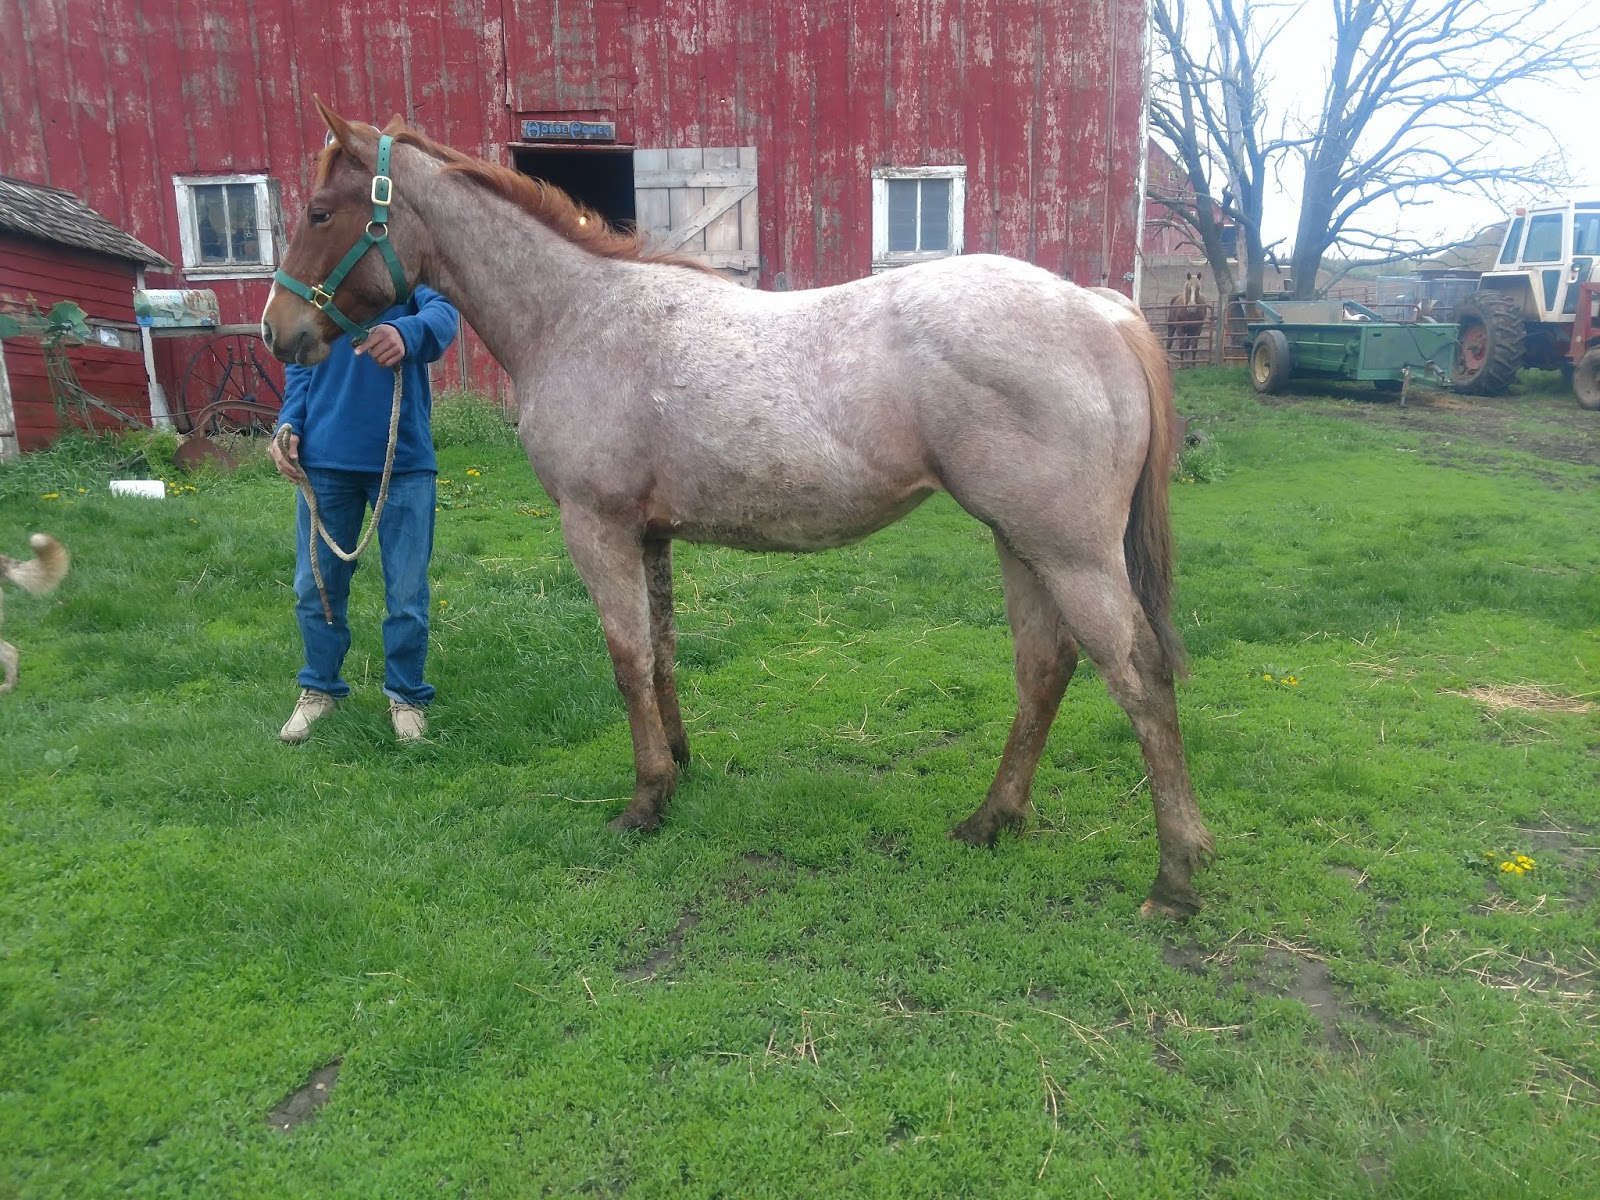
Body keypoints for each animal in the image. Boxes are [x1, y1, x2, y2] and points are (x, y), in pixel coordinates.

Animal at [262, 103, 1215, 917]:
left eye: (318, 210)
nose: (280, 334)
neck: (577, 315)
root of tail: (1102, 311)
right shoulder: (648, 533)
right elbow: (661, 653)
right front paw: (679, 768)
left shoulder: (596, 526)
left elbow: (625, 659)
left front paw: (643, 802)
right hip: (1020, 542)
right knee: (1045, 667)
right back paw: (990, 822)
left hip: (1070, 552)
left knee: (1138, 677)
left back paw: (1174, 878)